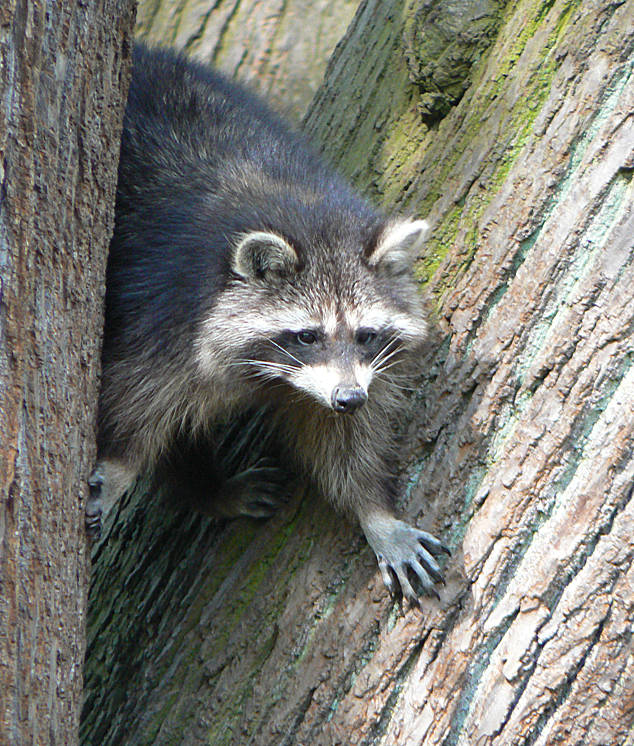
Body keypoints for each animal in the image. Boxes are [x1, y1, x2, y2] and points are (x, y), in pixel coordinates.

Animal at [86, 43, 446, 600]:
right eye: (307, 336)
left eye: (366, 335)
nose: (350, 398)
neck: (307, 213)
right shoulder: (167, 315)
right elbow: (132, 401)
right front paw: (117, 465)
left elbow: (342, 440)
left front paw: (376, 513)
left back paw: (208, 490)